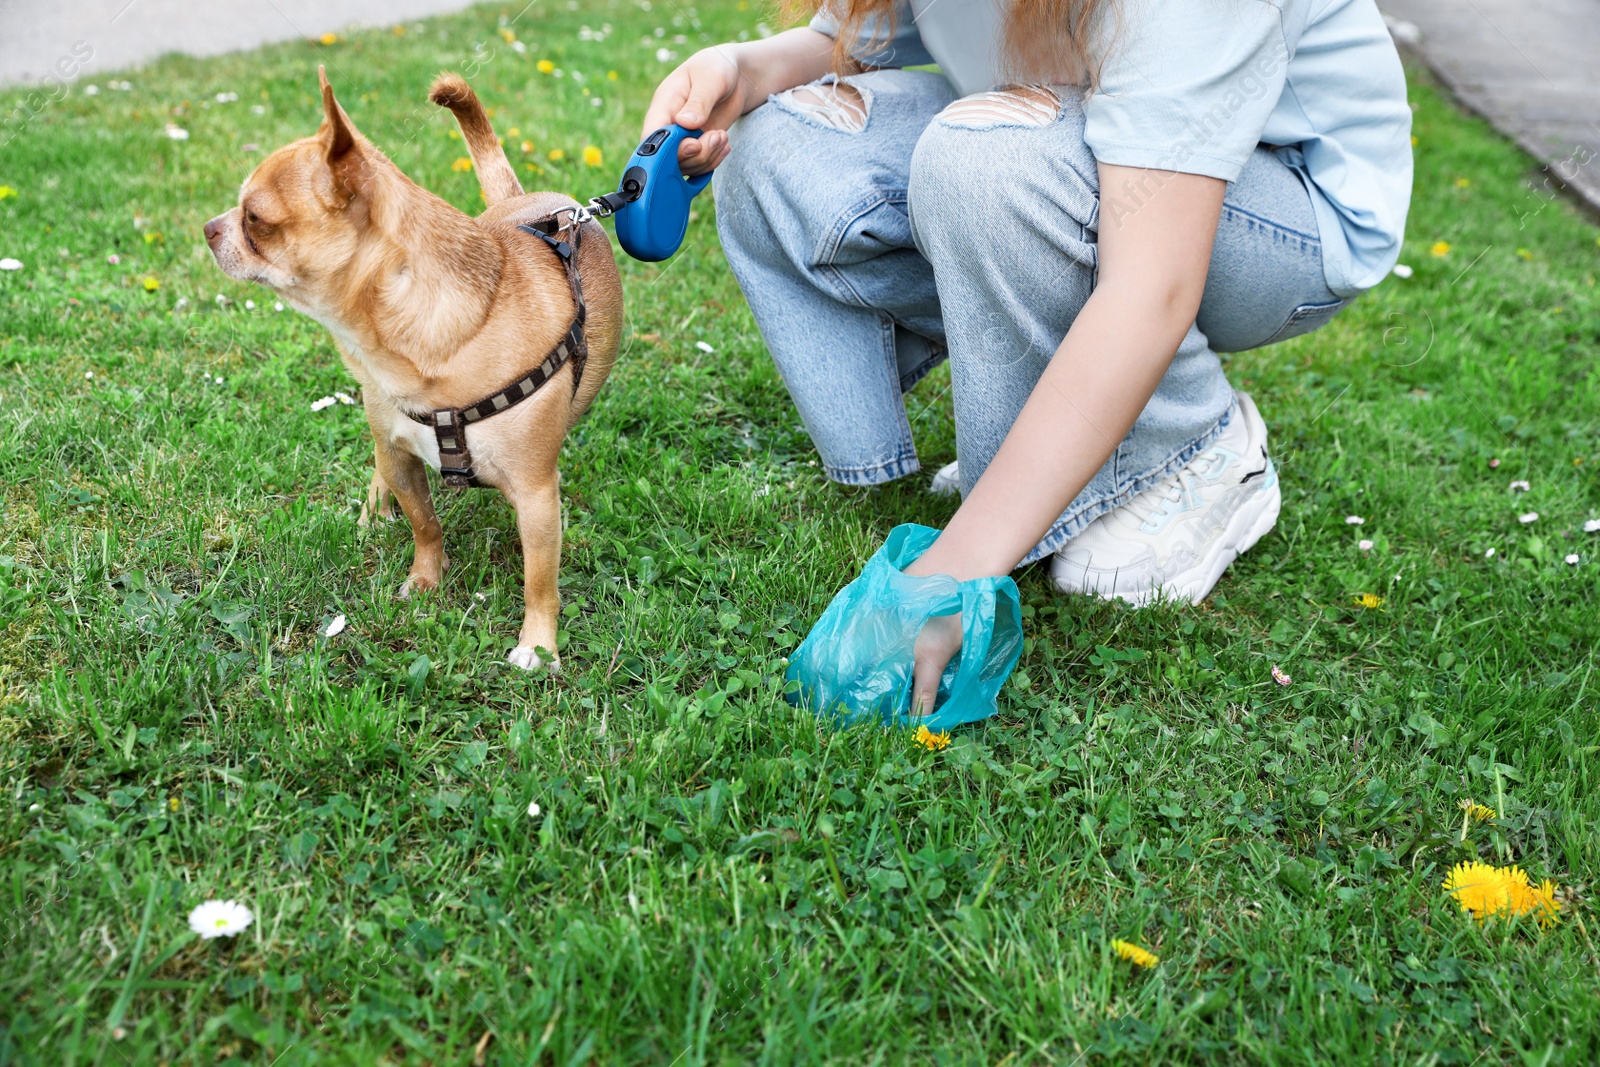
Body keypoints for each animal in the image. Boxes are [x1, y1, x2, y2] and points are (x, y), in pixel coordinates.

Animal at [206, 68, 617, 668]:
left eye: (255, 218)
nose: (210, 228)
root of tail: (528, 201)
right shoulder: (403, 456)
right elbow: (425, 523)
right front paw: (426, 580)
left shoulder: (539, 497)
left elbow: (540, 579)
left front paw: (538, 646)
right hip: (383, 431)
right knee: (382, 459)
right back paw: (374, 509)